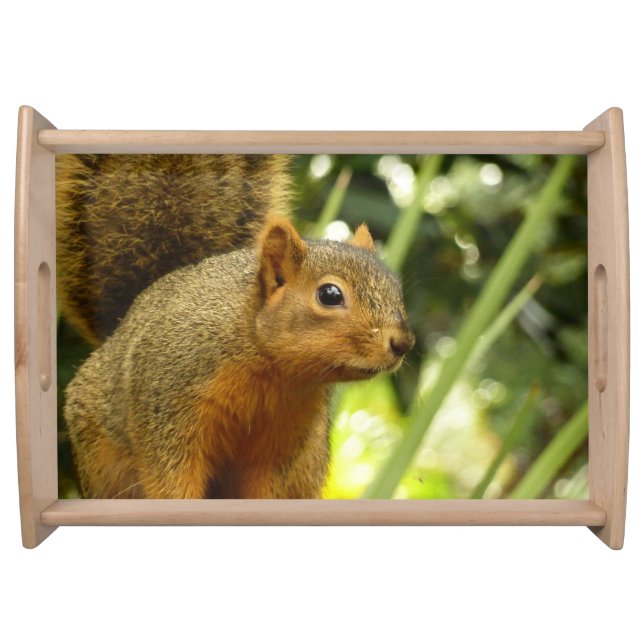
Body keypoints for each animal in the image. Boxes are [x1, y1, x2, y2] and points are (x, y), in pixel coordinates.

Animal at [57, 154, 415, 499]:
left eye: (396, 288)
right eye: (329, 295)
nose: (403, 343)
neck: (272, 370)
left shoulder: (285, 438)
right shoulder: (169, 405)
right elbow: (170, 478)